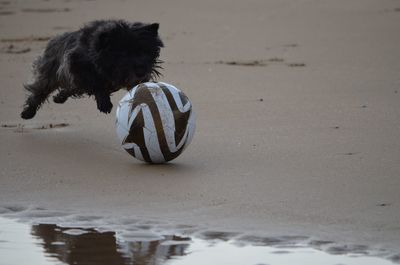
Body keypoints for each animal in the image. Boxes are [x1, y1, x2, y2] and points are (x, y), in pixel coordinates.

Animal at [19, 20, 164, 119]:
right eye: (123, 54)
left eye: (145, 51)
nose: (141, 72)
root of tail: (54, 39)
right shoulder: (76, 65)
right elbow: (96, 83)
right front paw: (104, 103)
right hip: (49, 73)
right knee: (40, 91)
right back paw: (28, 112)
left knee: (71, 88)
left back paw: (59, 97)